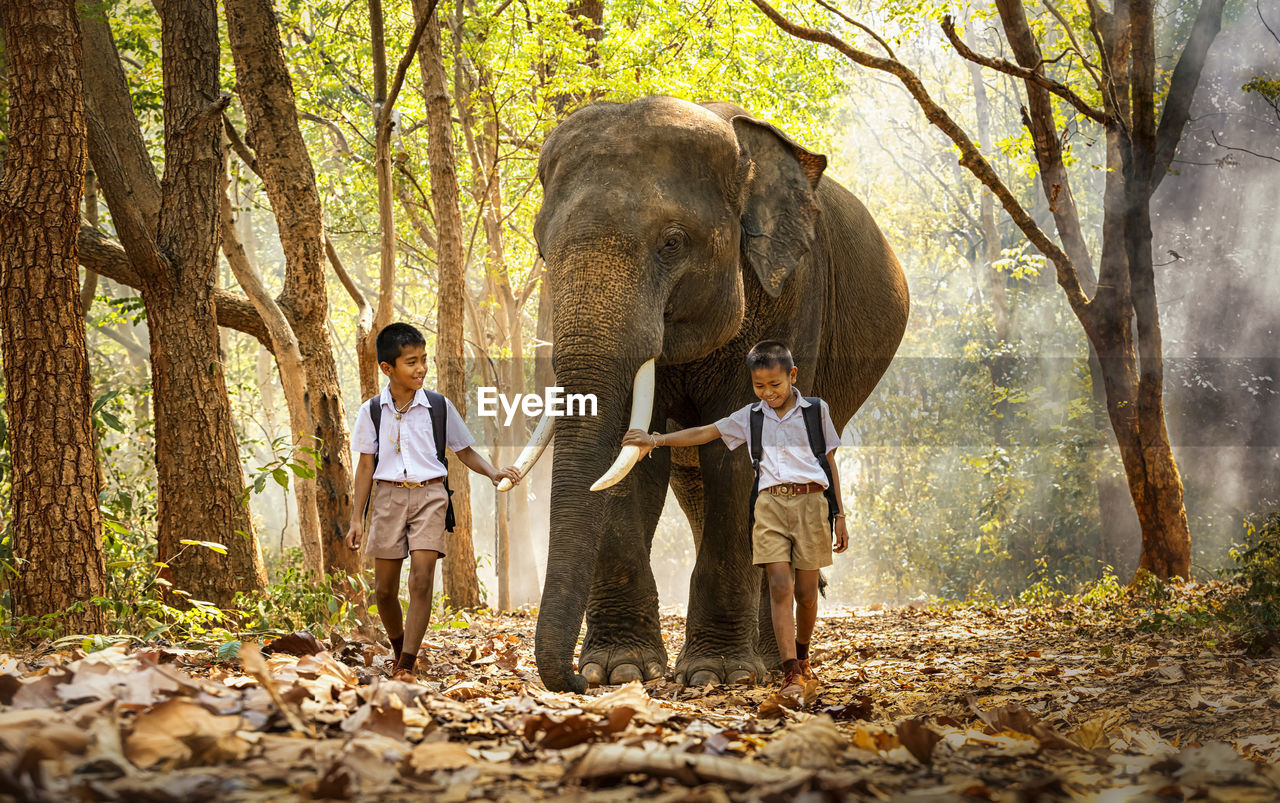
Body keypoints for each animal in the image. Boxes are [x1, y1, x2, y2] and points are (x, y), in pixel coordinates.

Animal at [509, 96, 911, 696]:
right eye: (540, 247)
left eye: (672, 243)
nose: (576, 681)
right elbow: (634, 467)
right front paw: (621, 670)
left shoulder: (792, 293)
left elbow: (736, 456)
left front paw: (715, 675)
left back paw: (769, 663)